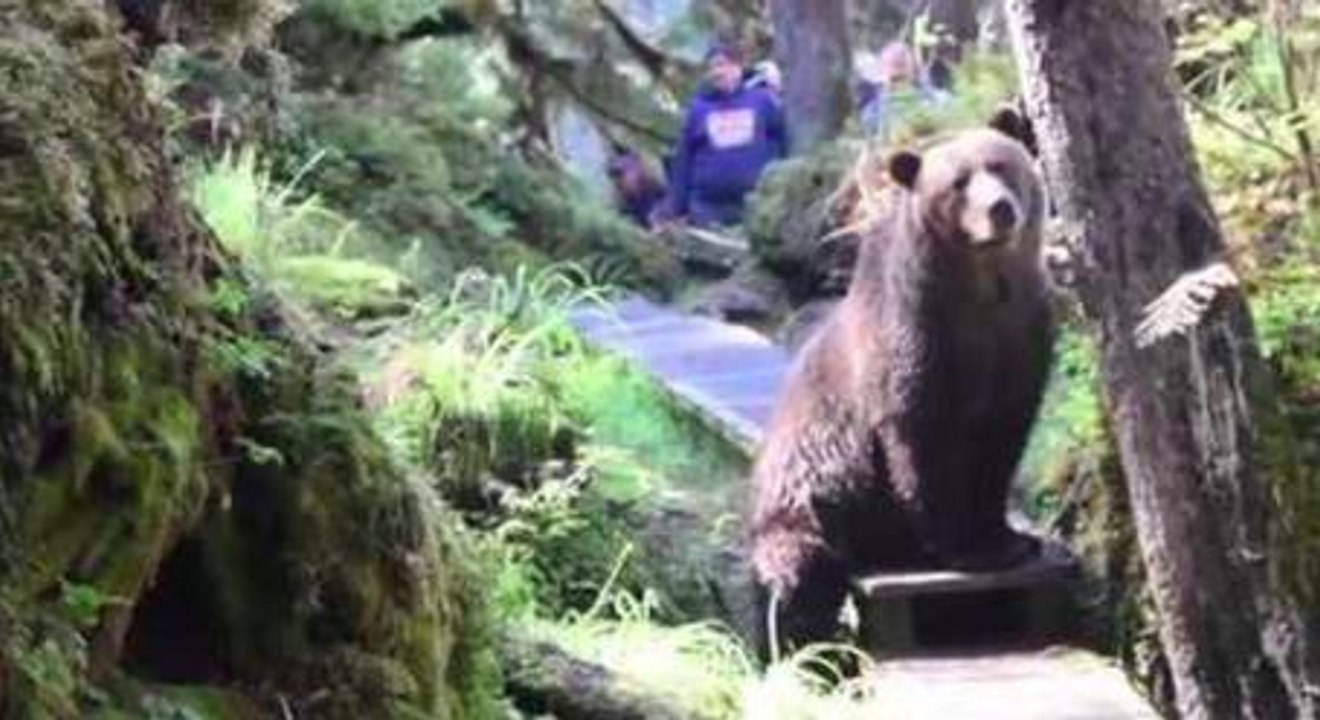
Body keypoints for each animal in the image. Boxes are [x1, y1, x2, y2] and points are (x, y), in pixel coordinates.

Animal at [747, 110, 1055, 656]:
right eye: (958, 182)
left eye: (1001, 164)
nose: (1000, 209)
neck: (984, 292)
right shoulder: (918, 346)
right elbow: (922, 446)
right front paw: (968, 548)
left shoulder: (1020, 344)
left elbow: (1000, 447)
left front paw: (1010, 538)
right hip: (808, 501)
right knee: (795, 574)